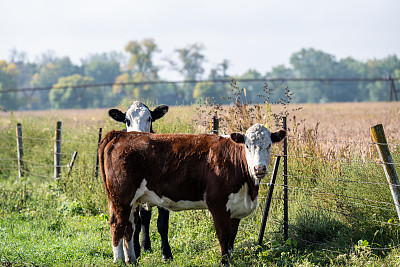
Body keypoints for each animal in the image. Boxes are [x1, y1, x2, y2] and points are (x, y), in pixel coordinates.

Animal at [100, 124, 288, 266]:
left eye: (269, 145)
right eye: (247, 146)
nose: (259, 168)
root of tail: (120, 135)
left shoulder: (235, 207)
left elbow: (232, 238)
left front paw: (230, 260)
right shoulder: (217, 204)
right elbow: (223, 236)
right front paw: (224, 262)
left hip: (132, 201)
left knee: (129, 227)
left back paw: (131, 260)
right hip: (121, 197)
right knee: (117, 225)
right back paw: (118, 260)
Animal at [108, 101, 172, 260]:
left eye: (149, 119)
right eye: (126, 120)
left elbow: (162, 225)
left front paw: (166, 253)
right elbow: (135, 226)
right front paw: (136, 251)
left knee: (146, 219)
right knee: (142, 220)